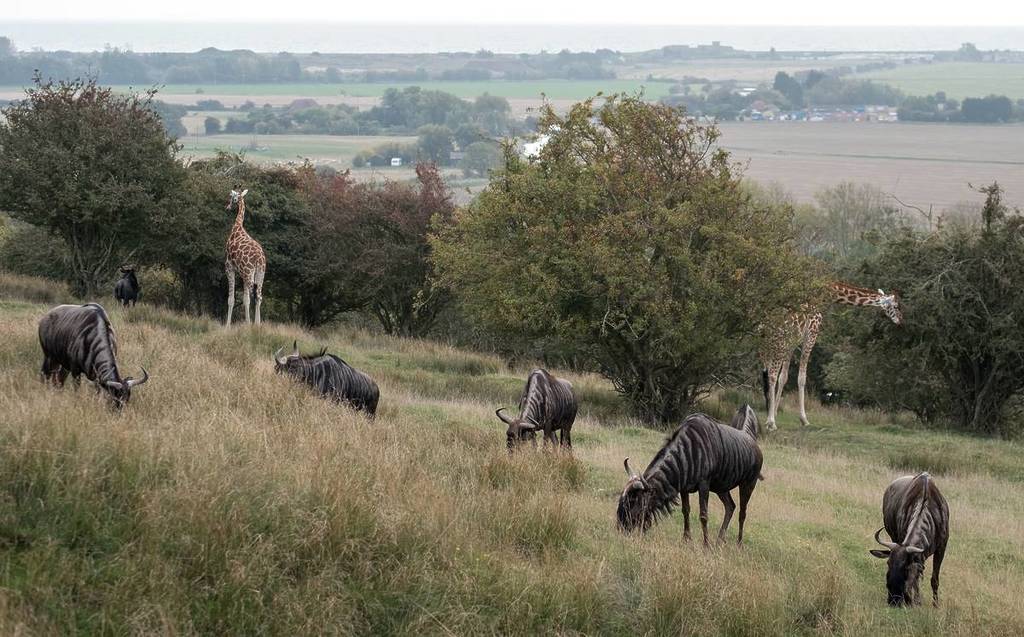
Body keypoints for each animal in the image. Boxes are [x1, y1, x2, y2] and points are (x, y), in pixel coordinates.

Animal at [224, 188, 267, 326]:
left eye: (232, 197)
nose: (228, 207)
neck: (237, 227)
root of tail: (259, 259)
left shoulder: (229, 267)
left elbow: (231, 299)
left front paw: (227, 326)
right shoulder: (242, 273)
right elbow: (245, 299)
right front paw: (247, 323)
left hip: (249, 273)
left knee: (255, 296)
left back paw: (254, 324)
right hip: (260, 273)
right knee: (259, 296)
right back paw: (257, 325)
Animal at [760, 281, 902, 431]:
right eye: (896, 306)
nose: (901, 320)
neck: (823, 295)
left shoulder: (794, 340)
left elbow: (783, 377)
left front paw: (775, 413)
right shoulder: (811, 333)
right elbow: (801, 378)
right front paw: (803, 419)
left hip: (767, 344)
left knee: (768, 374)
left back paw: (769, 418)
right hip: (779, 341)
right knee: (772, 375)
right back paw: (771, 423)